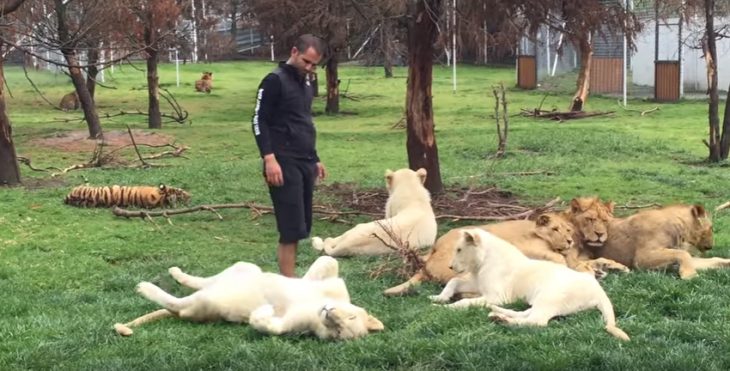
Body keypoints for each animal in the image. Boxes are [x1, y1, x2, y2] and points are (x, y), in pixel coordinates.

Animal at [111, 258, 384, 342]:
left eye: (339, 331)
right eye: (349, 316)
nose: (329, 313)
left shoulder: (293, 326)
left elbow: (266, 325)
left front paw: (264, 311)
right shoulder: (334, 284)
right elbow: (328, 260)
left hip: (209, 302)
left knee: (178, 306)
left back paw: (145, 287)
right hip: (245, 267)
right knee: (204, 281)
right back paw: (176, 272)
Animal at [430, 228, 628, 342]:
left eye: (459, 250)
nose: (450, 266)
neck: (482, 263)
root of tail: (599, 290)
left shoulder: (497, 295)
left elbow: (463, 301)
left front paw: (442, 308)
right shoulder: (477, 285)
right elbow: (453, 281)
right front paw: (439, 298)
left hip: (549, 296)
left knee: (536, 321)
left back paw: (503, 320)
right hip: (541, 300)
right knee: (525, 314)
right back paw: (497, 315)